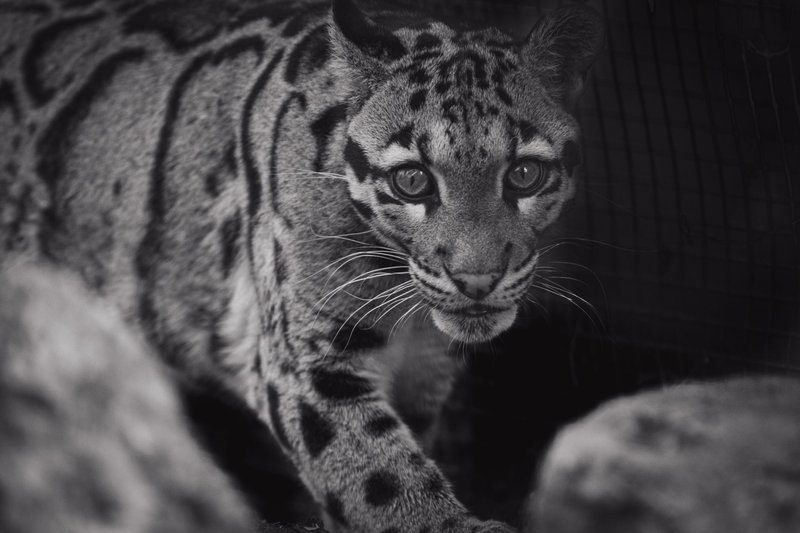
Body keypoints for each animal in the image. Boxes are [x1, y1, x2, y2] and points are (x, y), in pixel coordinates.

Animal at [0, 0, 604, 531]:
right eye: (411, 180)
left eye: (524, 174)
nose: (477, 279)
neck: (408, 312)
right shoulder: (304, 361)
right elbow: (379, 476)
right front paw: (450, 525)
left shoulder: (426, 379)